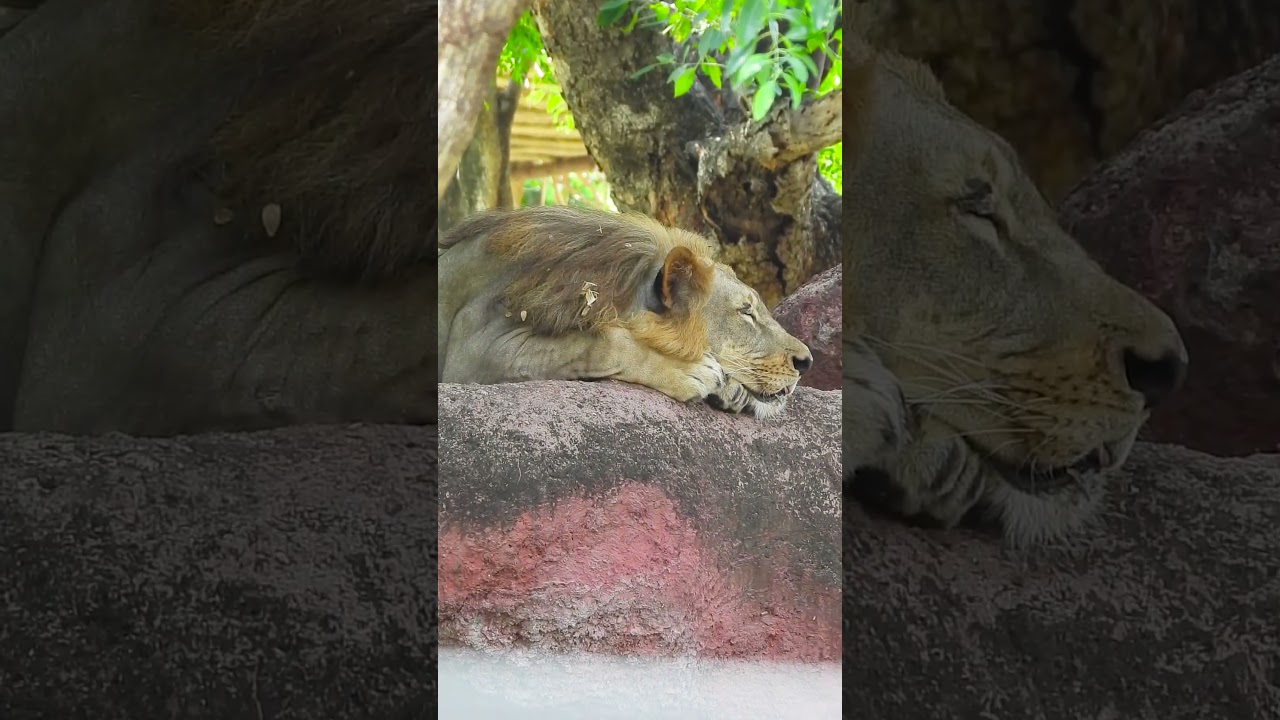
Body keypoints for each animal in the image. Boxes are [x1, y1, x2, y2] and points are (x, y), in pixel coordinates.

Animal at [438, 206, 814, 420]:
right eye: (746, 312)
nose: (807, 362)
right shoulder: (474, 351)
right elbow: (602, 342)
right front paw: (691, 372)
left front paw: (732, 390)